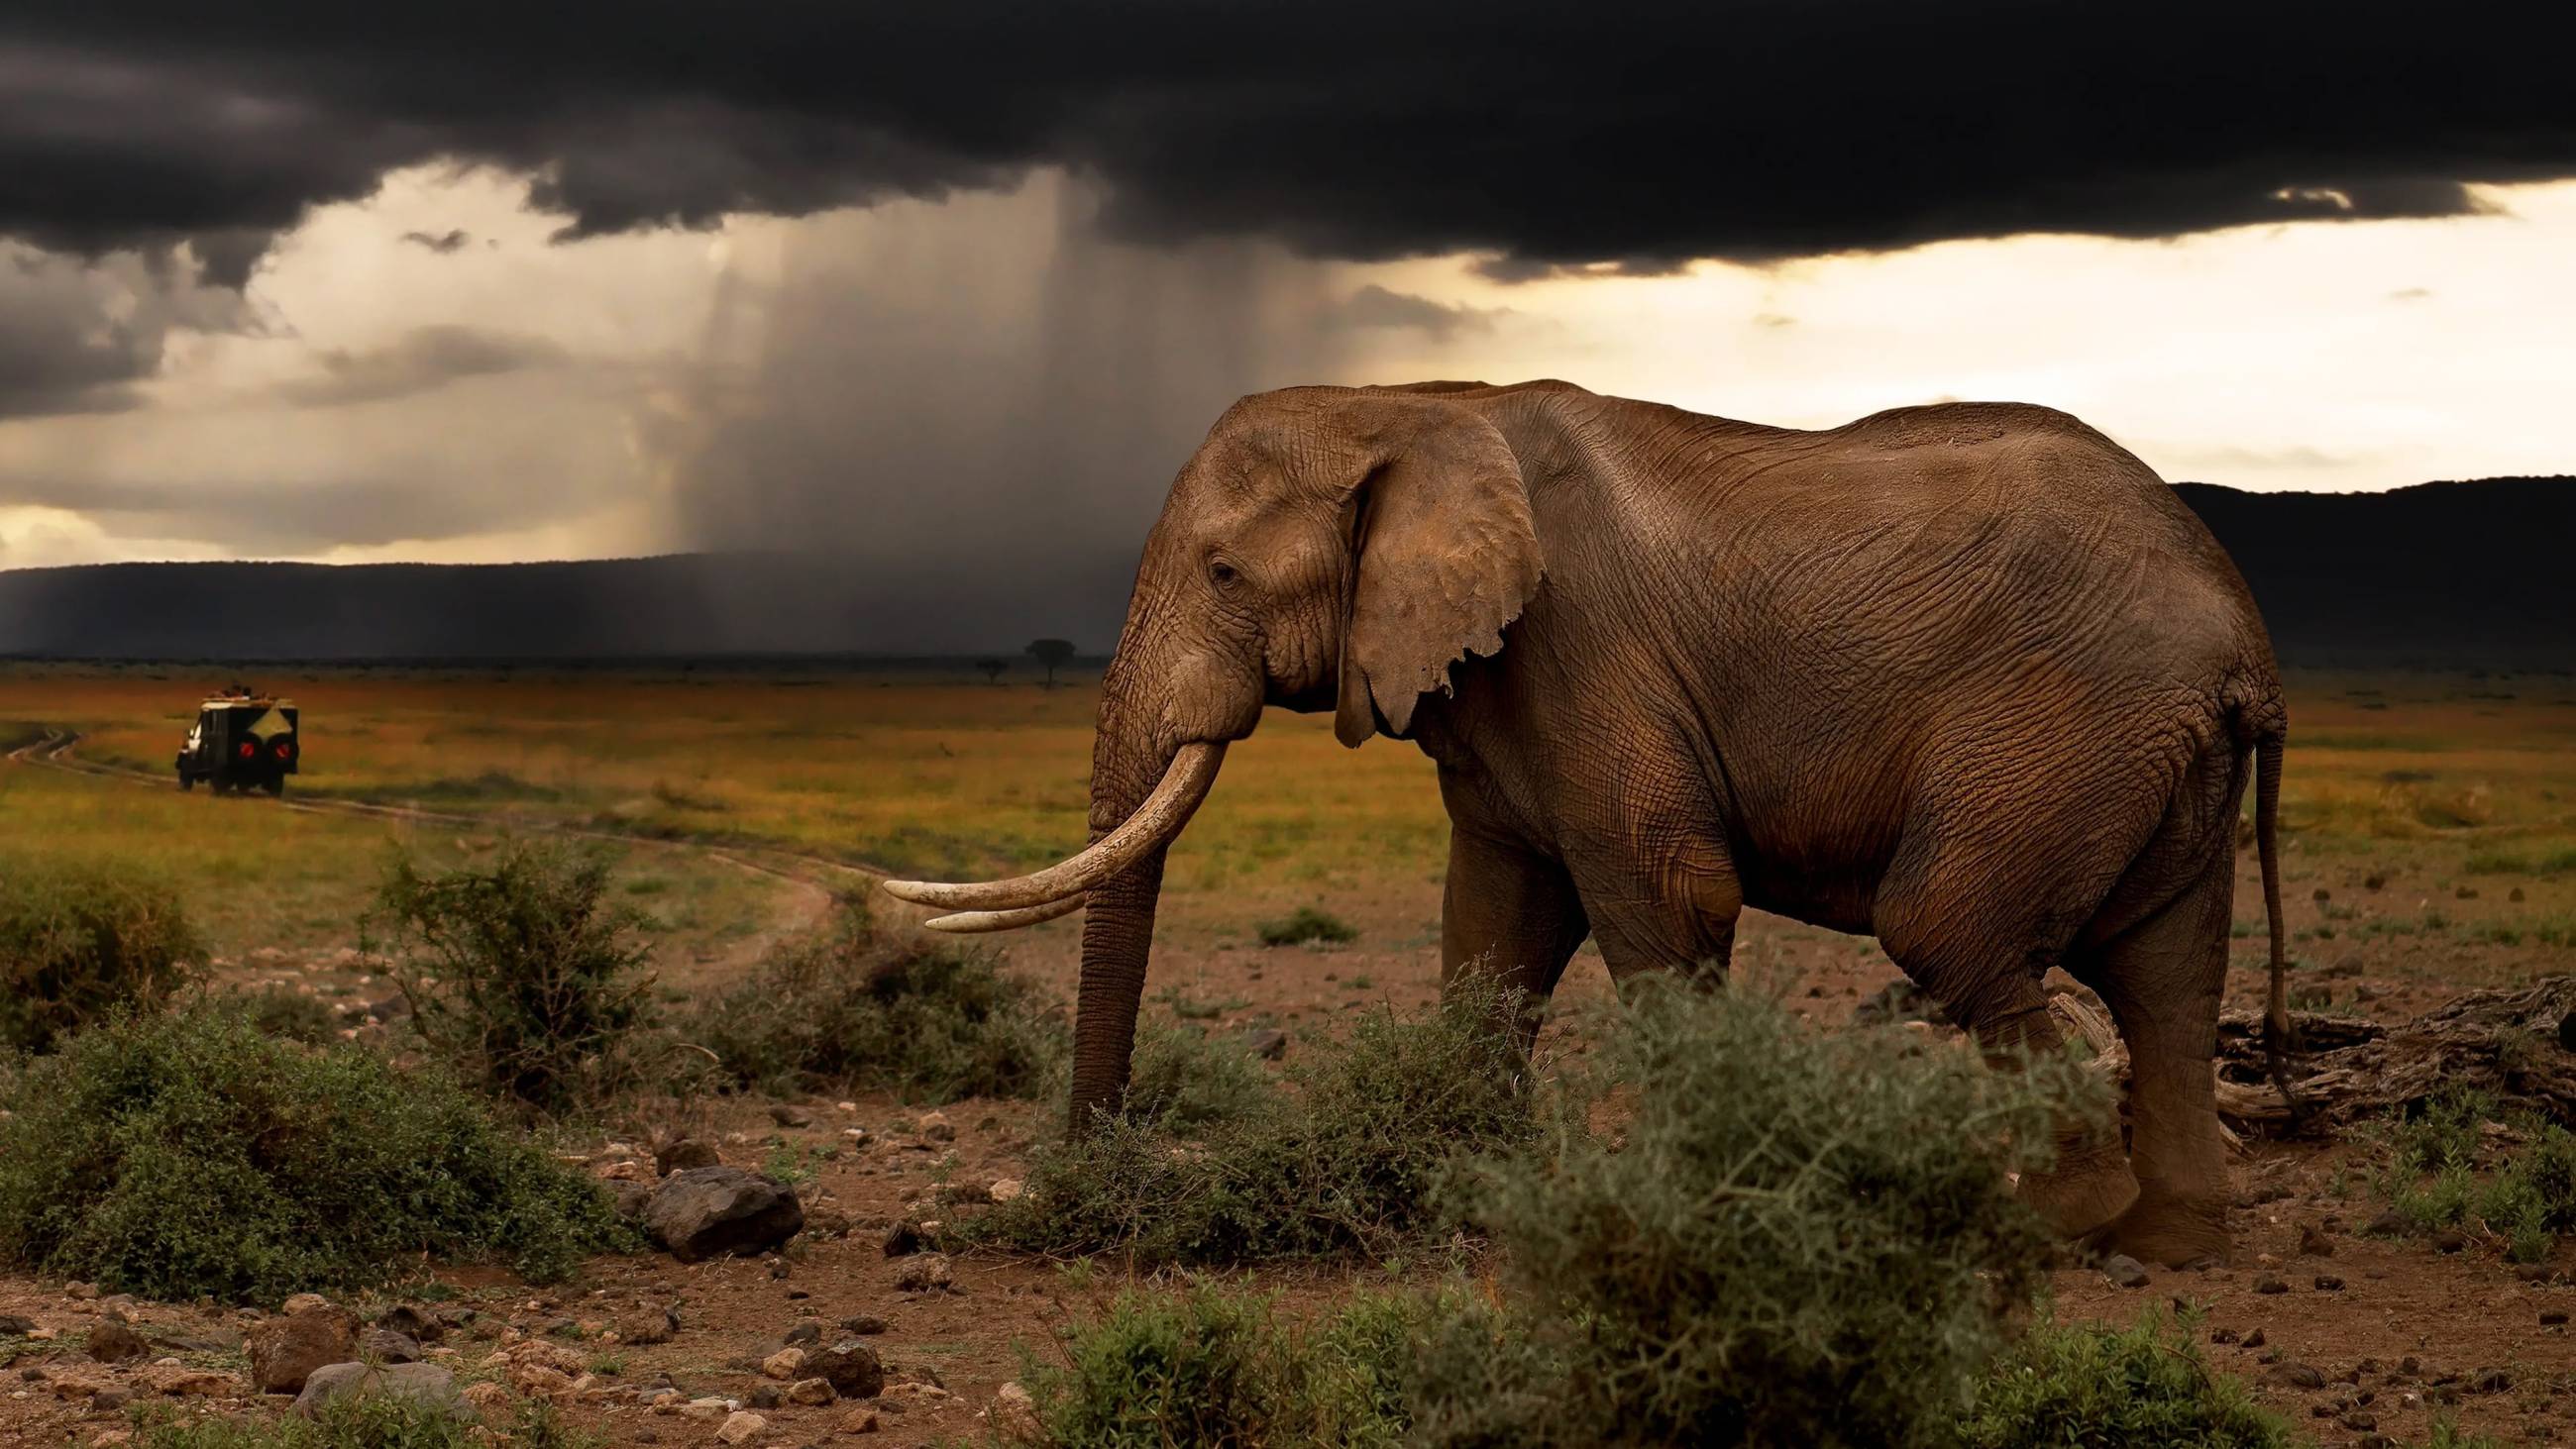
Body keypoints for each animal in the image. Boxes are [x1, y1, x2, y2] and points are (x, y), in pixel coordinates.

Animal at [881, 377, 2277, 1271]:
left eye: (1222, 572)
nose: (1090, 1185)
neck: (1408, 403)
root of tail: (2242, 639)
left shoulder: (1584, 651)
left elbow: (1664, 892)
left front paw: (1682, 1209)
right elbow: (1494, 920)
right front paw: (1457, 1185)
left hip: (2059, 726)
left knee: (1949, 925)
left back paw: (2050, 1226)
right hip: (2143, 760)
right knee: (2166, 975)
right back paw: (2170, 1242)